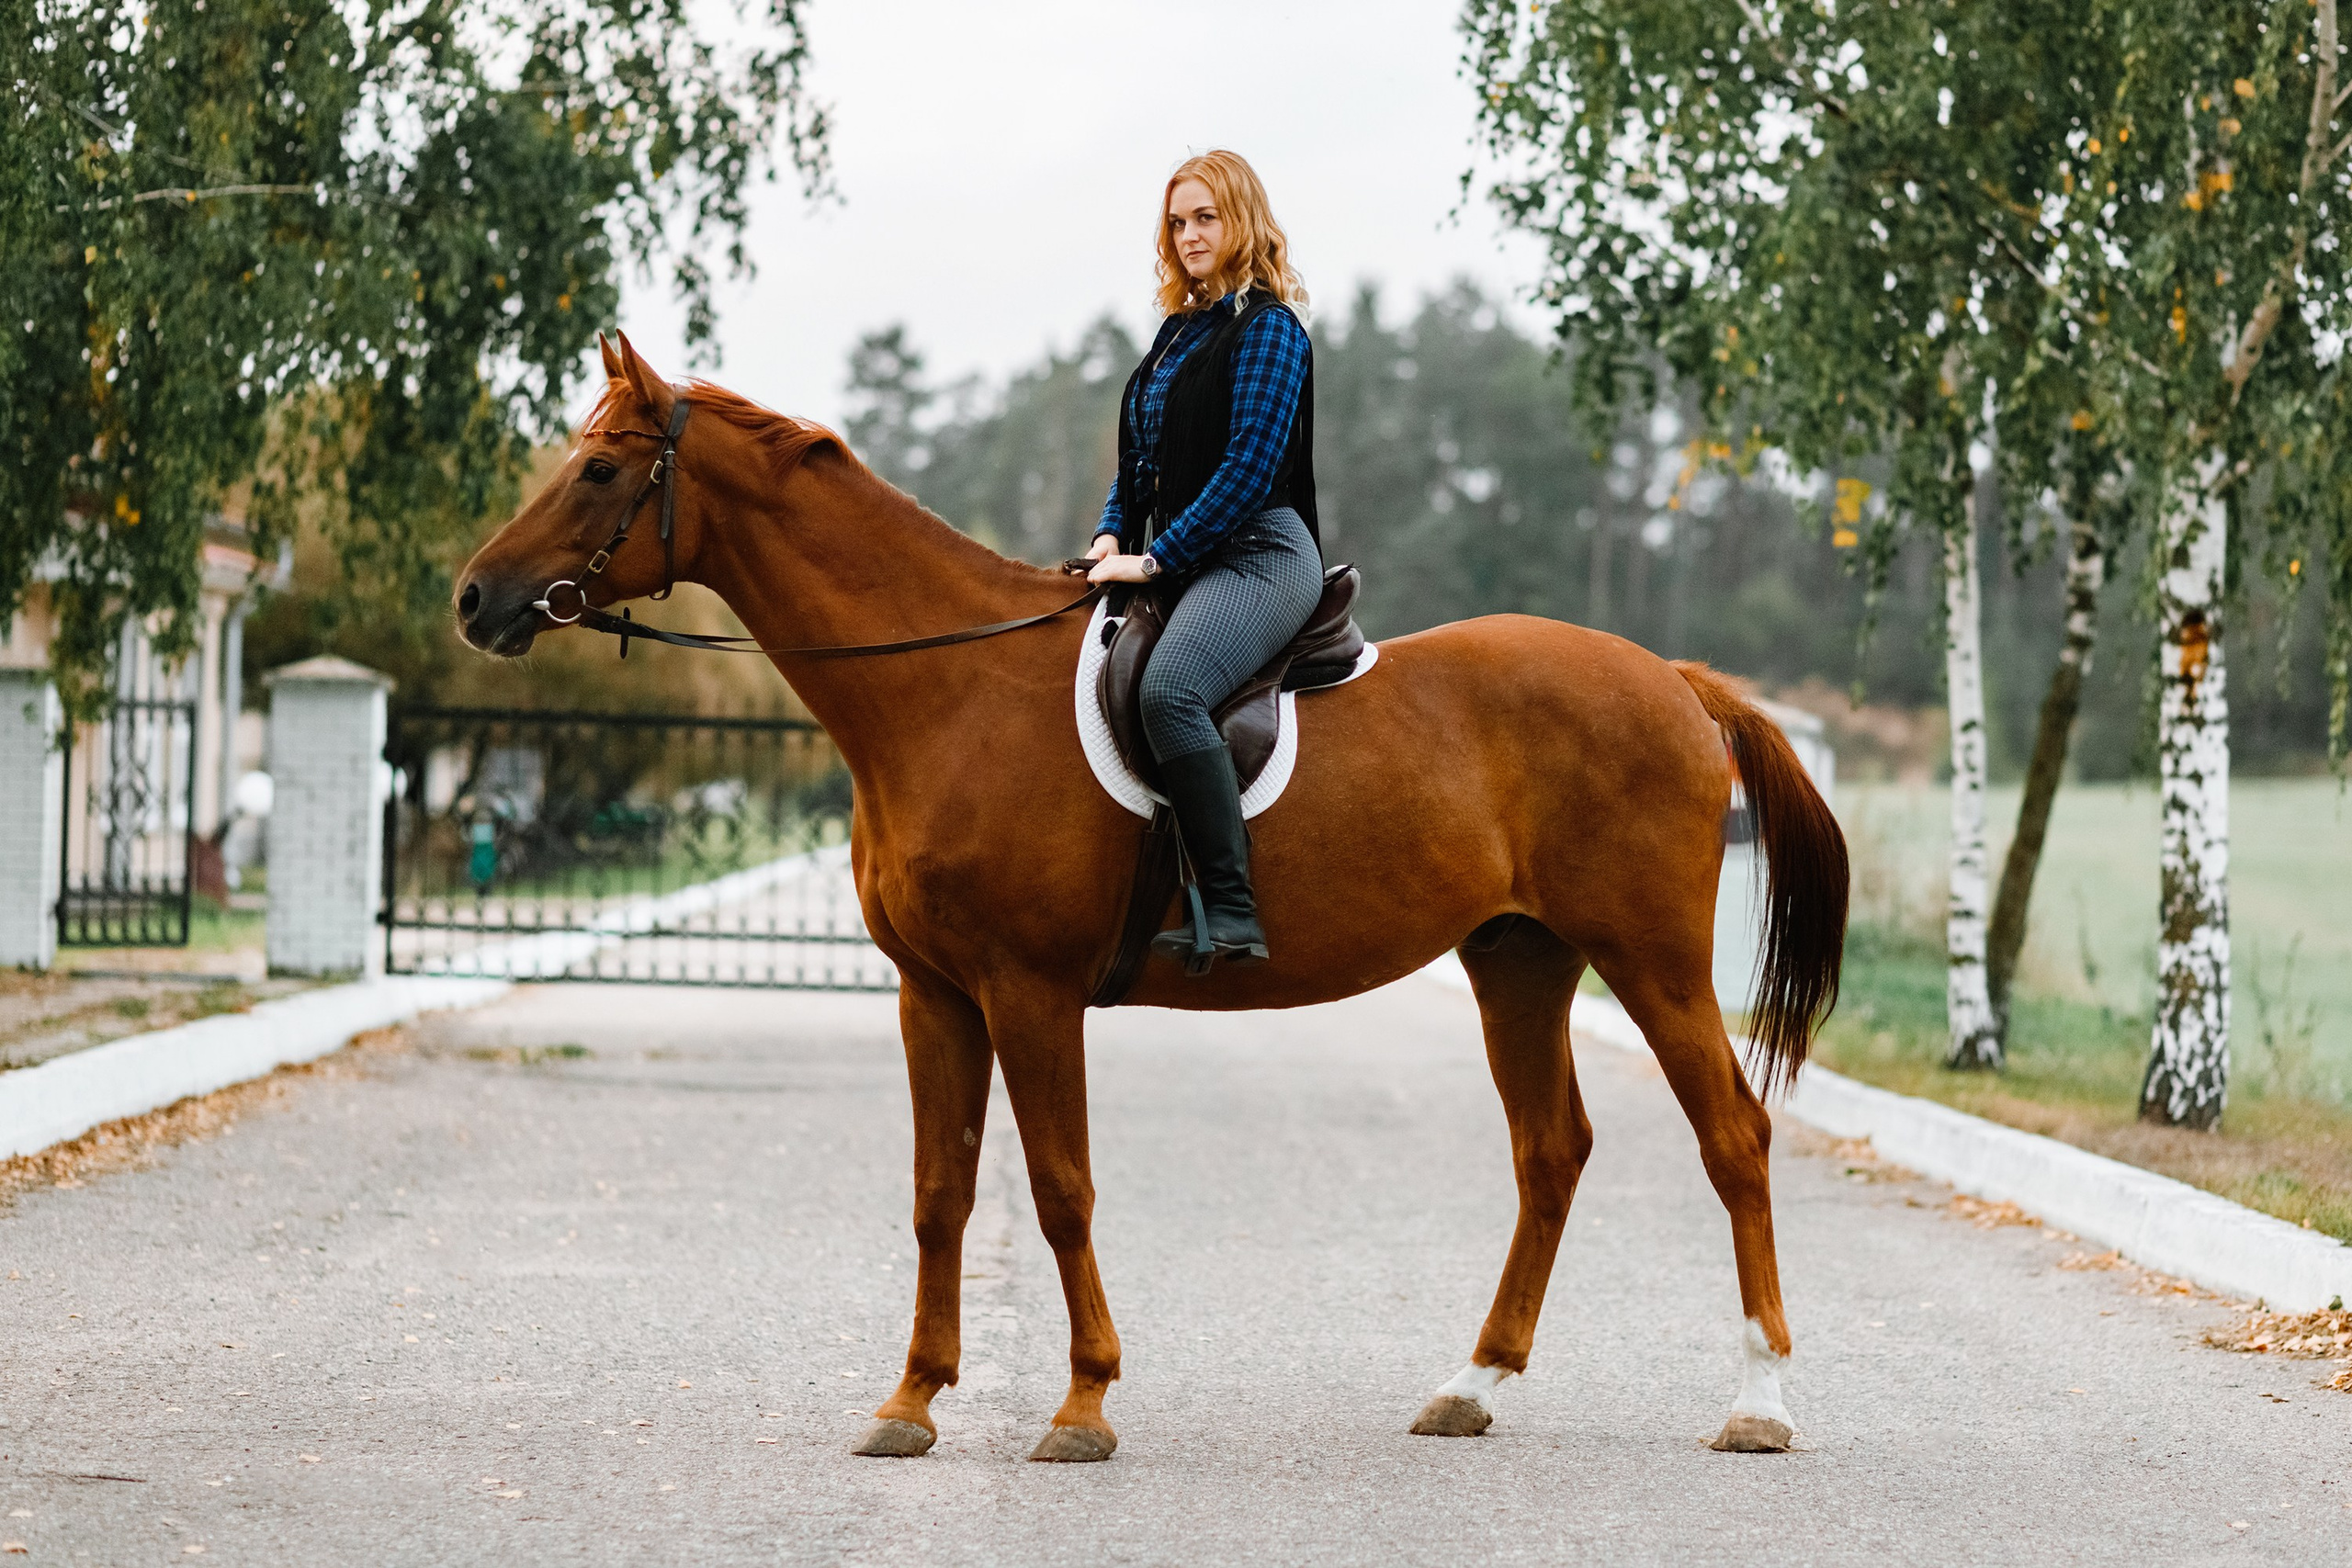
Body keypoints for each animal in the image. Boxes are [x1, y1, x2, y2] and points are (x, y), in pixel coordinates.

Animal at [453, 333, 1848, 1462]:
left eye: (598, 470)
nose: (475, 598)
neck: (949, 693)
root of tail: (1673, 680)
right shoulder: (933, 994)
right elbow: (941, 1194)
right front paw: (910, 1402)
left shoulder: (1029, 992)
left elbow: (1059, 1186)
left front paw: (1082, 1404)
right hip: (1518, 958)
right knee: (1550, 1150)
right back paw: (1472, 1384)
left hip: (1649, 958)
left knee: (1734, 1137)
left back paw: (1760, 1402)